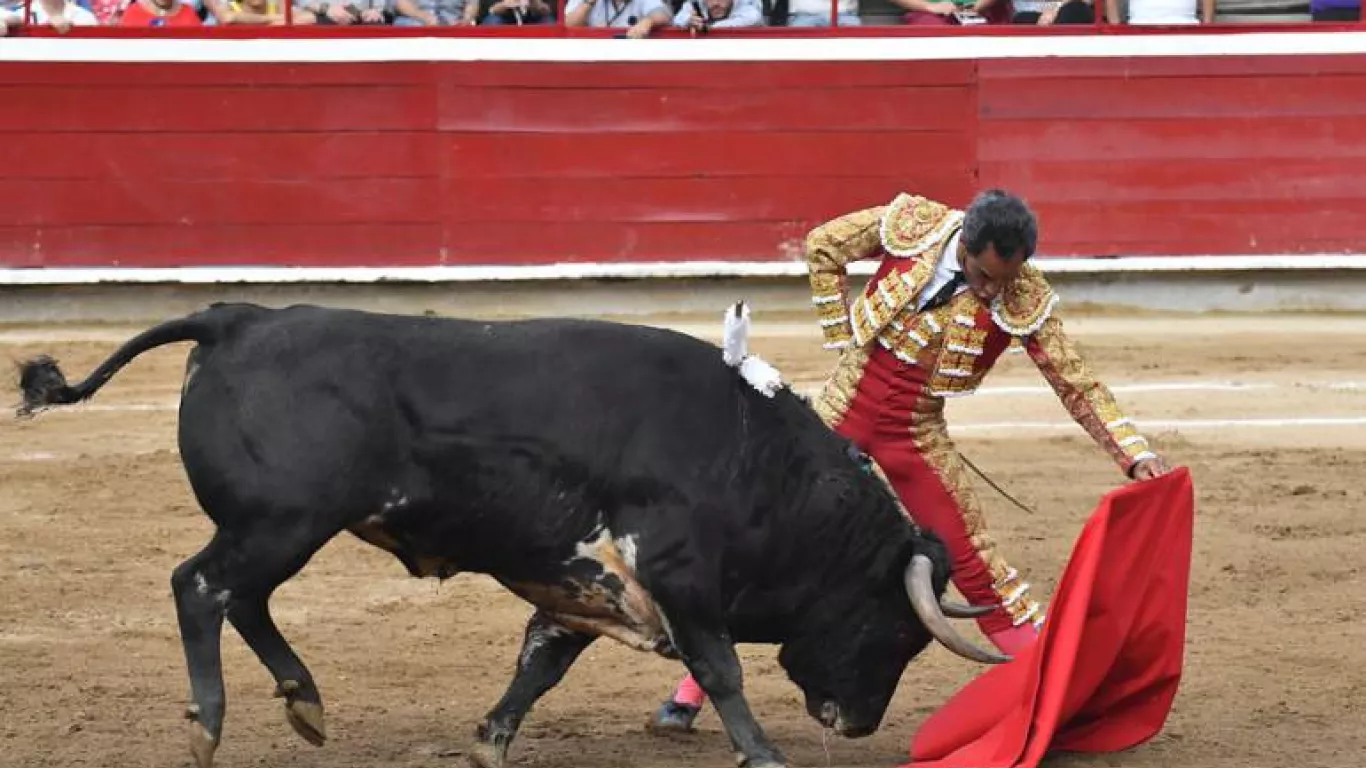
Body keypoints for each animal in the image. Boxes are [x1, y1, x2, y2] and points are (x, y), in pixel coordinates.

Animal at [16, 302, 1010, 765]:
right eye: (898, 632)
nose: (859, 723)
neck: (752, 459)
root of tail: (238, 319)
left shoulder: (580, 585)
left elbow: (538, 665)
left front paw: (489, 741)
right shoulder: (681, 573)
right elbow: (722, 666)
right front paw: (761, 752)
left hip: (284, 527)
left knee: (244, 600)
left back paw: (305, 702)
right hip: (279, 522)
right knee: (202, 587)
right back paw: (209, 724)